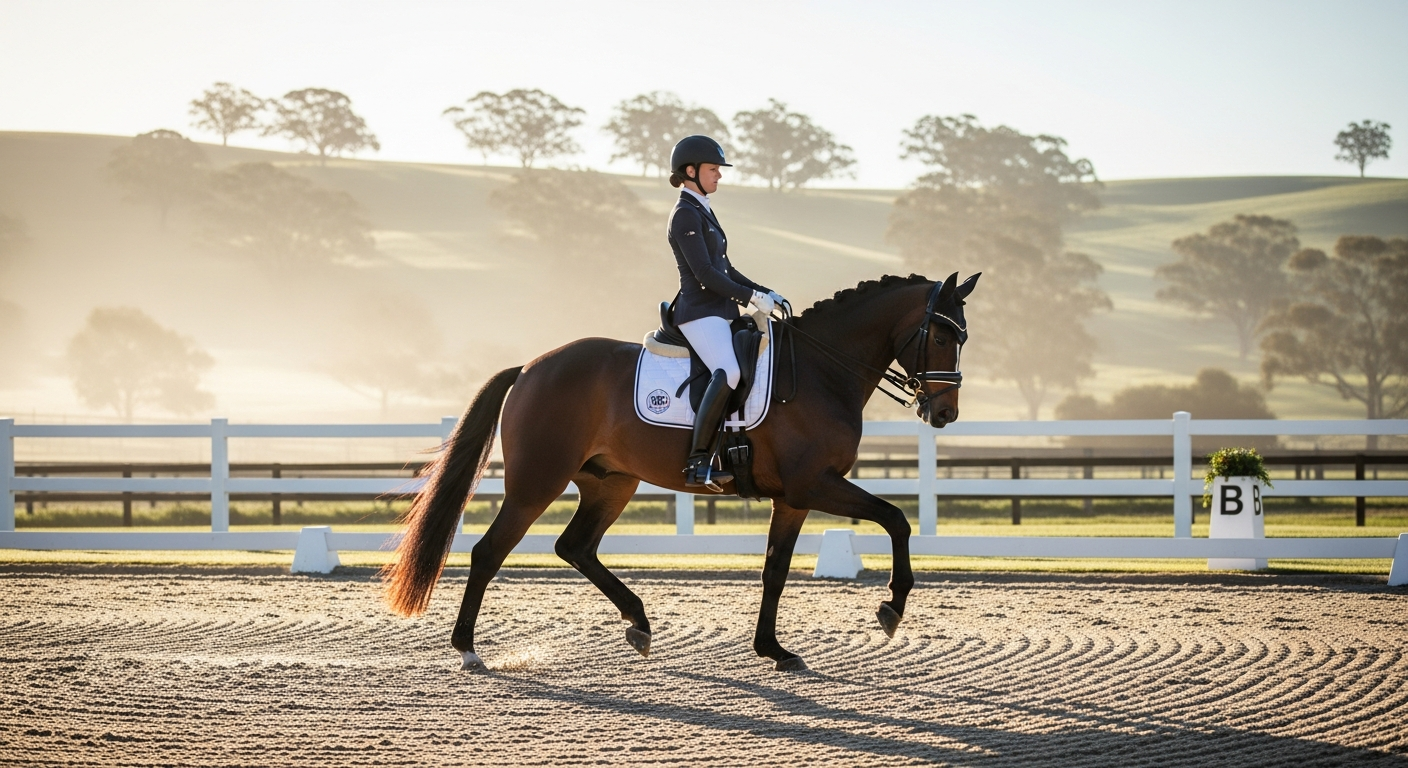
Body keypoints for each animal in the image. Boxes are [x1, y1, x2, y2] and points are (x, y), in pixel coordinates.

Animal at [383, 271, 980, 672]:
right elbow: (896, 519)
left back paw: (639, 624)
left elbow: (775, 570)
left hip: (611, 482)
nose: (944, 414)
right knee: (489, 552)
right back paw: (468, 650)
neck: (819, 370)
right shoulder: (815, 484)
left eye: (963, 337)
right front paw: (891, 608)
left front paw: (774, 650)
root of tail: (531, 367)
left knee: (575, 547)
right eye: (941, 335)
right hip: (537, 483)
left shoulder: (794, 497)